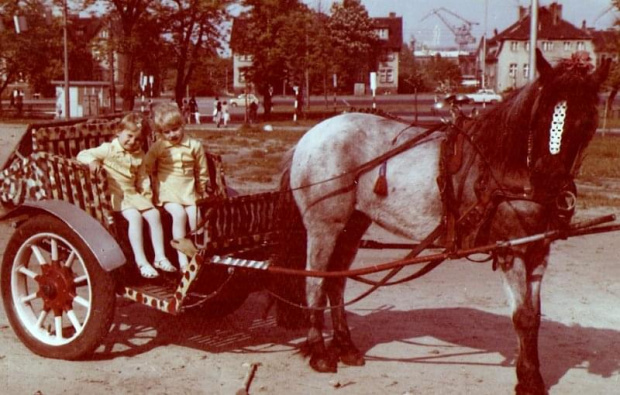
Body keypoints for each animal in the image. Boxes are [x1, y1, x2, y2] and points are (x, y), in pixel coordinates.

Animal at [274, 50, 612, 395]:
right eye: (541, 115)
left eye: (586, 123)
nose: (548, 186)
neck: (507, 166)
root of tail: (310, 137)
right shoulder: (512, 251)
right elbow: (523, 317)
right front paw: (528, 380)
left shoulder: (537, 251)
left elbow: (535, 317)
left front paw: (532, 376)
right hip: (324, 228)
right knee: (315, 282)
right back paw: (319, 351)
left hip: (352, 226)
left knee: (336, 282)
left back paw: (346, 346)